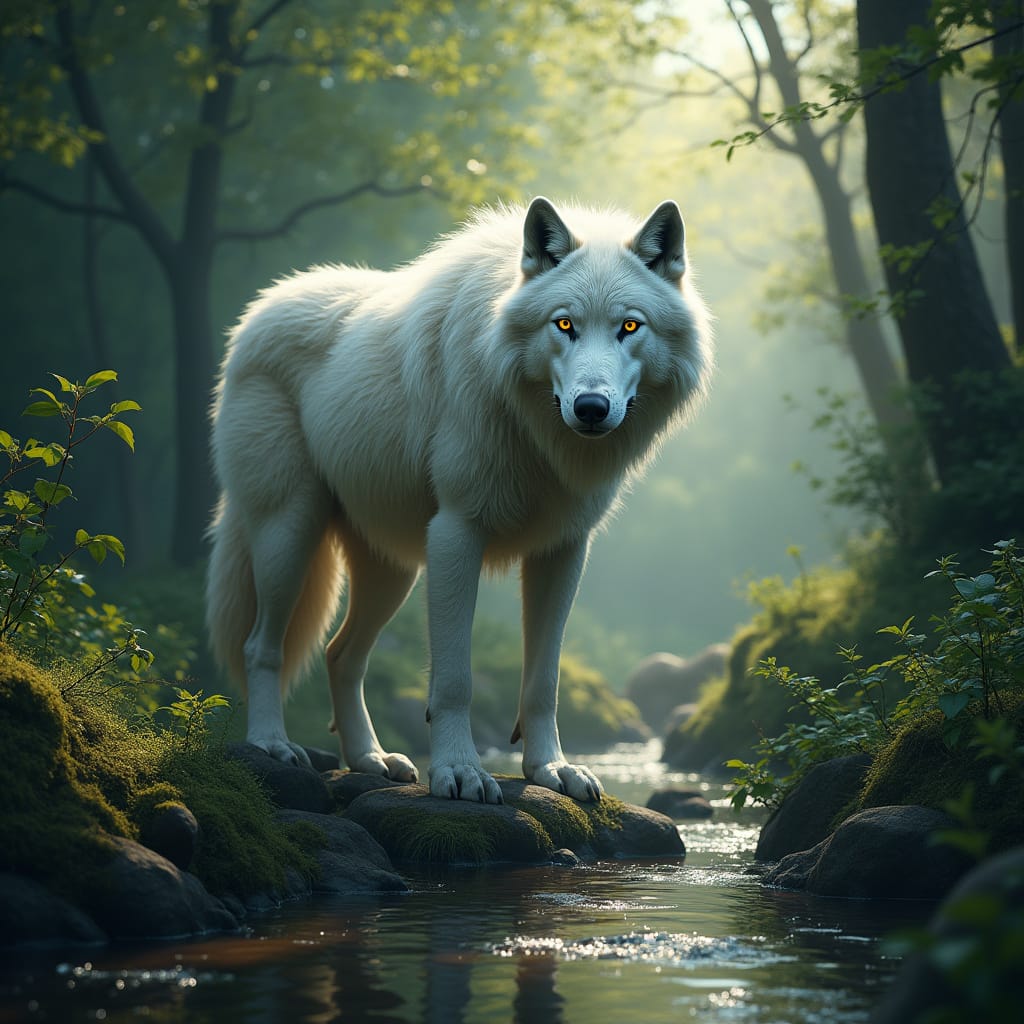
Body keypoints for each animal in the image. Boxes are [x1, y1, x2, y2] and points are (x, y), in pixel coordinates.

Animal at [206, 197, 712, 804]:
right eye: (564, 324)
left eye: (629, 326)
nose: (590, 407)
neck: (533, 433)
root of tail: (257, 310)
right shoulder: (456, 534)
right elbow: (454, 679)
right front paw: (460, 771)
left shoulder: (564, 551)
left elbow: (543, 681)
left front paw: (551, 769)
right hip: (290, 534)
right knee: (261, 647)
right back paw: (272, 744)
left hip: (392, 569)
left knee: (340, 656)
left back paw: (371, 760)